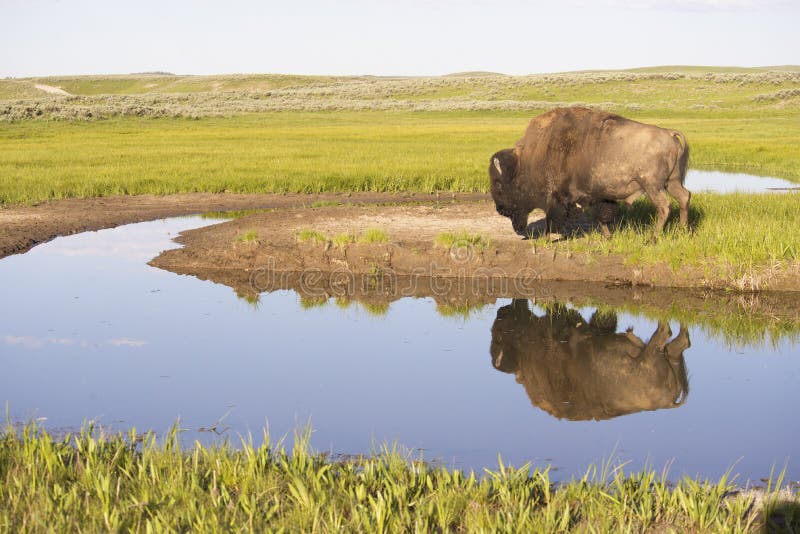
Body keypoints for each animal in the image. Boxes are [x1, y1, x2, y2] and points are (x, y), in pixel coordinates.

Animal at [489, 107, 690, 238]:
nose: (500, 209)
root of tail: (669, 133)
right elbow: (600, 216)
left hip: (652, 186)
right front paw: (607, 236)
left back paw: (653, 238)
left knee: (664, 206)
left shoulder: (556, 198)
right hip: (671, 182)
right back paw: (682, 231)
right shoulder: (597, 196)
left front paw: (545, 239)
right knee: (684, 197)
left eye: (498, 184)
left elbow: (552, 220)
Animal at [490, 299, 690, 421]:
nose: (501, 311)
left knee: (664, 333)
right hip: (671, 355)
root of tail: (667, 403)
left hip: (650, 355)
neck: (523, 357)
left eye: (498, 336)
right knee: (681, 341)